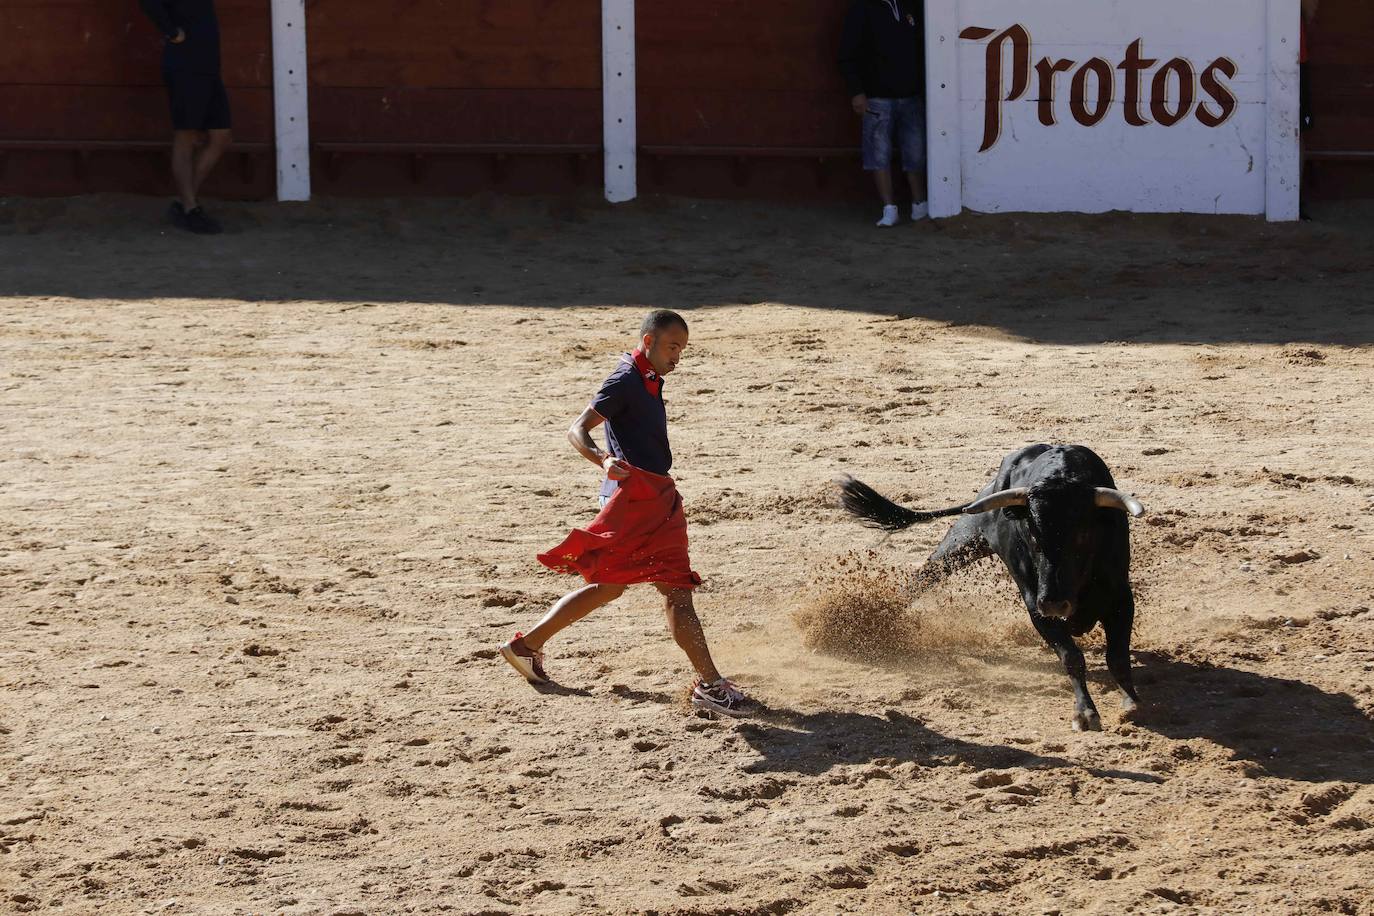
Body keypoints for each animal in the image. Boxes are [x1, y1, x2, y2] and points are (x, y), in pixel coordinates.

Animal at [835, 439, 1148, 736]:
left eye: (1083, 535)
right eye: (1032, 535)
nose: (1054, 603)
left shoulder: (1121, 599)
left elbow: (1117, 656)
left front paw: (1131, 702)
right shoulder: (1035, 605)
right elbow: (1072, 656)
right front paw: (1084, 712)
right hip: (962, 541)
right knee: (921, 578)